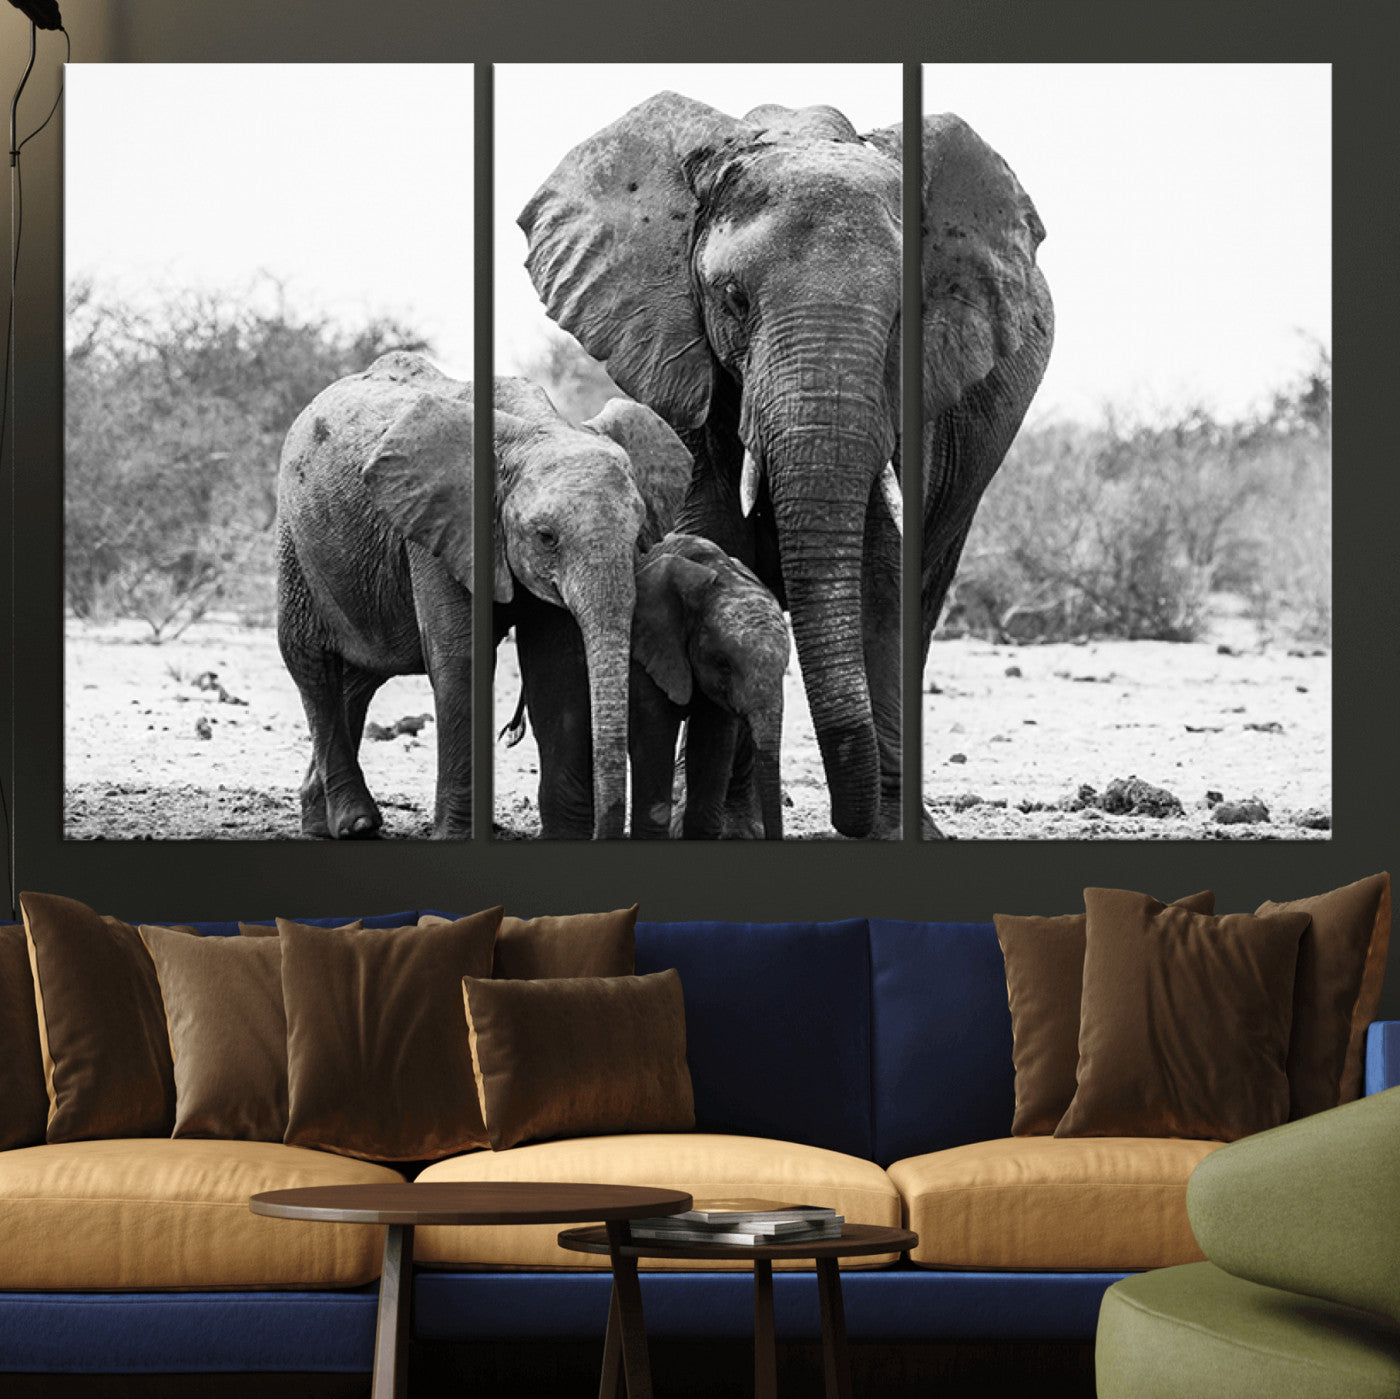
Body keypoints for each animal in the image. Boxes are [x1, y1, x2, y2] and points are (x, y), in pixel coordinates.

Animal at [276, 351, 690, 839]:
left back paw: (323, 822)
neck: (536, 429)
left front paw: (563, 838)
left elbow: (556, 669)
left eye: (637, 534)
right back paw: (354, 823)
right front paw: (455, 836)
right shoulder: (440, 527)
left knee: (363, 674)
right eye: (546, 537)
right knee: (312, 662)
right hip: (296, 541)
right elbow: (462, 659)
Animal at [519, 94, 1053, 838]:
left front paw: (888, 830)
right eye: (733, 299)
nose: (849, 818)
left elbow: (881, 576)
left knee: (924, 591)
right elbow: (719, 539)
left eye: (902, 315)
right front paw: (724, 826)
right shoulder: (691, 372)